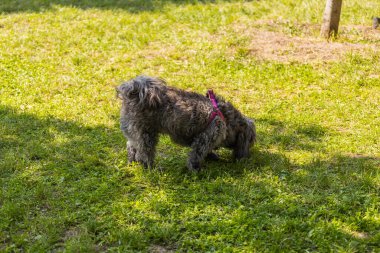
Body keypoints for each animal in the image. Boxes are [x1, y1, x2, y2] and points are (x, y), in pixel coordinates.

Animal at [116, 74, 255, 171]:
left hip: (135, 133)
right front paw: (196, 170)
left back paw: (132, 162)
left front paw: (211, 156)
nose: (247, 157)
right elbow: (196, 155)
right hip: (147, 135)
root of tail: (133, 93)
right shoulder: (206, 137)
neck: (226, 119)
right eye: (250, 141)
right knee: (144, 154)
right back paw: (151, 168)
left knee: (132, 147)